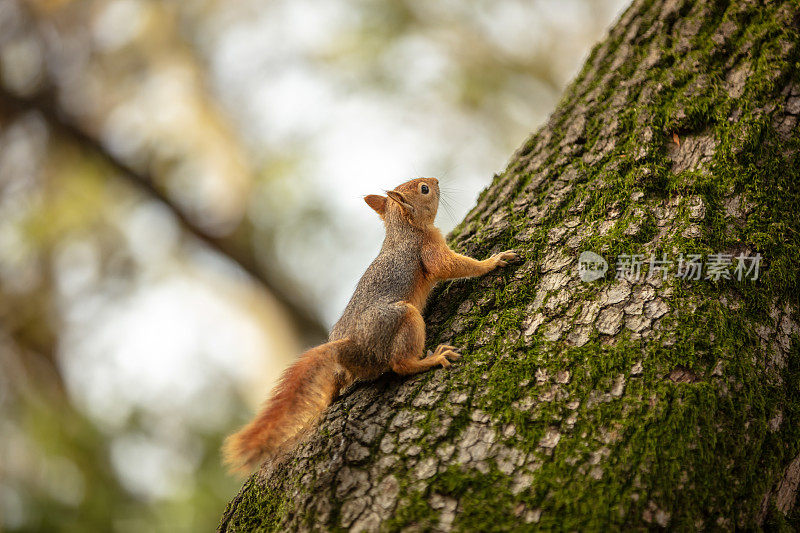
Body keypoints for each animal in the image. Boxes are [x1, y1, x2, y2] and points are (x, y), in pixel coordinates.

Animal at [222, 177, 516, 472]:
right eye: (424, 189)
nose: (435, 180)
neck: (403, 230)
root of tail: (349, 347)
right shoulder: (426, 249)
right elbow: (449, 266)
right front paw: (491, 262)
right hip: (403, 318)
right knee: (400, 364)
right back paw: (430, 359)